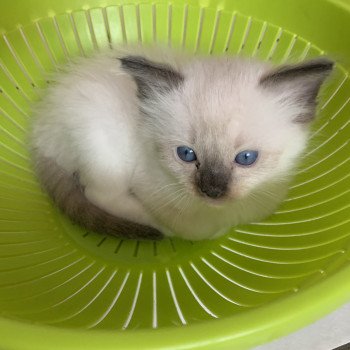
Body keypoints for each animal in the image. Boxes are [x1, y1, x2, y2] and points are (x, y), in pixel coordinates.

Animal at [32, 47, 334, 241]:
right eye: (186, 154)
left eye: (246, 158)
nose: (212, 191)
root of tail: (38, 133)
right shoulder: (150, 188)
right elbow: (197, 230)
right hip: (104, 145)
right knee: (99, 195)